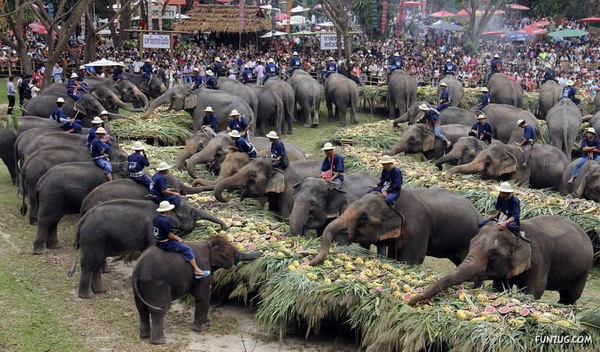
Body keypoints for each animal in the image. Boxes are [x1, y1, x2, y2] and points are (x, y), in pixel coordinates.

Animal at [71, 199, 226, 298]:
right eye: (193, 212)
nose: (222, 227)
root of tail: (82, 221)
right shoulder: (152, 228)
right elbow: (152, 247)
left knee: (95, 262)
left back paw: (99, 291)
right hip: (93, 237)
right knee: (89, 263)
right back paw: (87, 296)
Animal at [310, 190, 482, 266]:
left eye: (364, 218)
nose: (311, 261)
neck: (392, 201)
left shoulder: (417, 227)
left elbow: (412, 259)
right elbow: (393, 256)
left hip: (470, 239)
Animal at [410, 214, 592, 306]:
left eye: (493, 254)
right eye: (471, 243)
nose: (411, 300)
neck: (517, 233)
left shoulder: (539, 260)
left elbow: (534, 291)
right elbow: (500, 287)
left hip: (583, 271)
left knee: (570, 296)